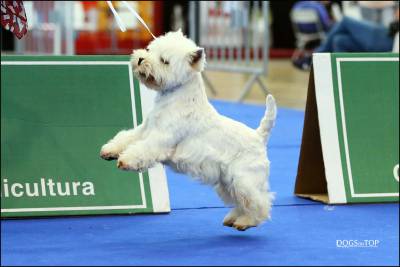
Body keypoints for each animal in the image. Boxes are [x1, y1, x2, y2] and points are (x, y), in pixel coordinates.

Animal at [100, 29, 276, 232]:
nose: (141, 59)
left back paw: (245, 222)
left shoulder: (160, 139)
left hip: (243, 179)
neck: (173, 98)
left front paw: (126, 160)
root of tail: (259, 136)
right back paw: (233, 219)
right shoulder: (144, 130)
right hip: (227, 182)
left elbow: (142, 149)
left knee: (259, 203)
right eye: (149, 49)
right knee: (240, 201)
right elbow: (126, 138)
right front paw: (110, 150)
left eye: (164, 60)